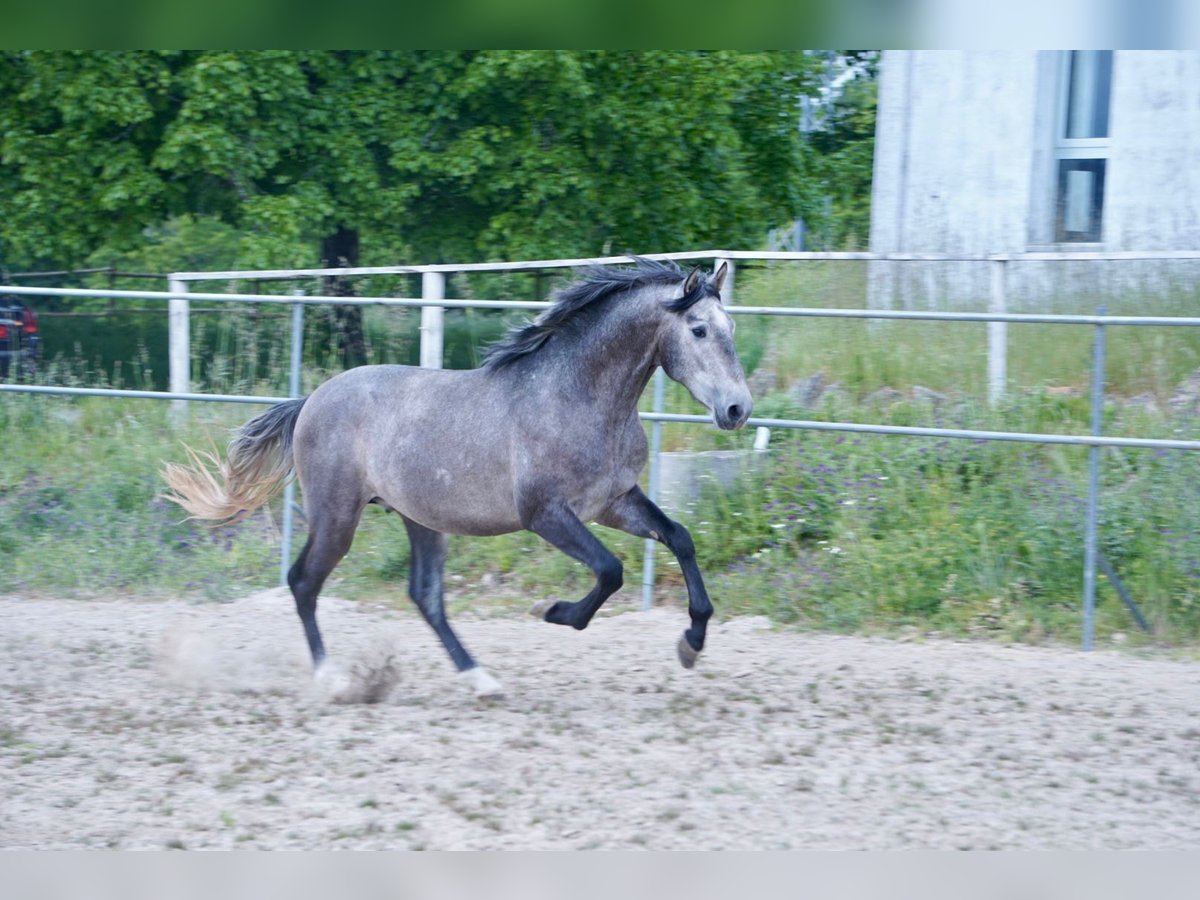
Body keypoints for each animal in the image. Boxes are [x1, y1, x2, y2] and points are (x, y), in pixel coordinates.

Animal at [164, 259, 748, 696]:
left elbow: (680, 538)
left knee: (424, 595)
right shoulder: (546, 514)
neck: (575, 396)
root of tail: (311, 400)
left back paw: (479, 678)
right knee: (304, 581)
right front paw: (553, 611)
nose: (737, 409)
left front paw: (692, 642)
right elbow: (610, 570)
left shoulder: (614, 501)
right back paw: (331, 679)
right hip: (336, 515)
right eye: (698, 330)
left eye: (732, 330)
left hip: (420, 519)